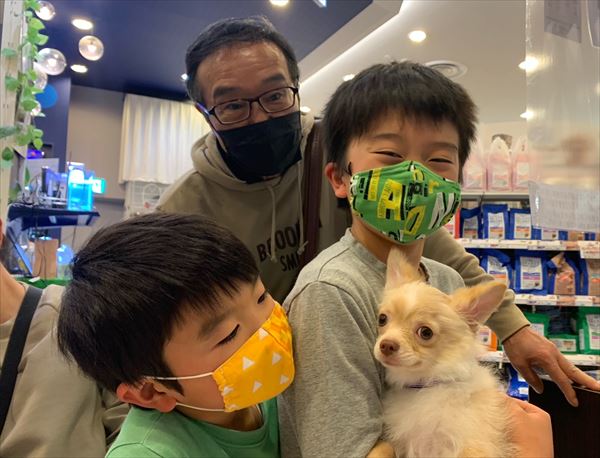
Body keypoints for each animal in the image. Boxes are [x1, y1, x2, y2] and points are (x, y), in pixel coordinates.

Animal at [374, 248, 516, 458]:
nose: (387, 345)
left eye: (425, 332)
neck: (425, 387)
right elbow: (383, 449)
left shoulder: (474, 445)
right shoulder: (400, 443)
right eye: (382, 319)